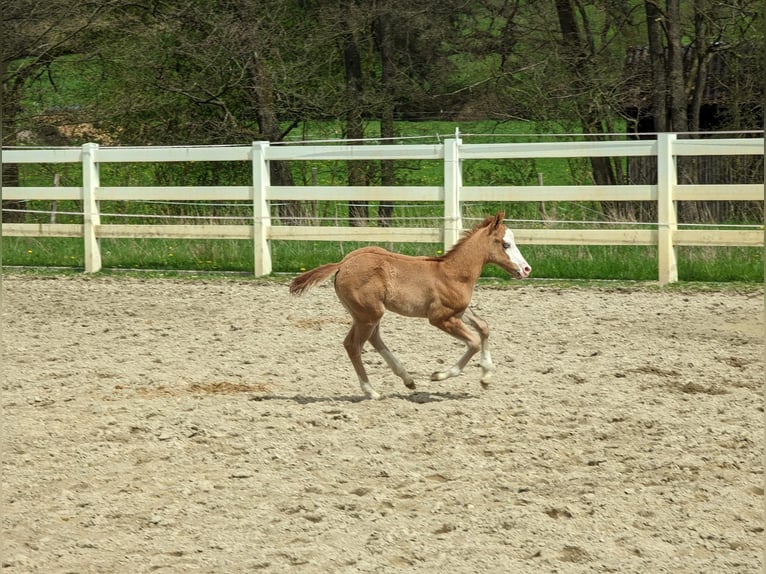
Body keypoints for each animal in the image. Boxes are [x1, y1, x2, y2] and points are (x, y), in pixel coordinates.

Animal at [289, 212, 531, 400]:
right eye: (506, 244)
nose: (526, 269)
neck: (452, 272)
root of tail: (343, 263)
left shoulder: (459, 311)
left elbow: (484, 327)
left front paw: (486, 377)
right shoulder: (440, 317)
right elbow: (473, 342)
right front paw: (439, 375)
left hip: (367, 314)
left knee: (373, 339)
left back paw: (407, 379)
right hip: (369, 314)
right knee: (353, 345)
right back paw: (372, 392)